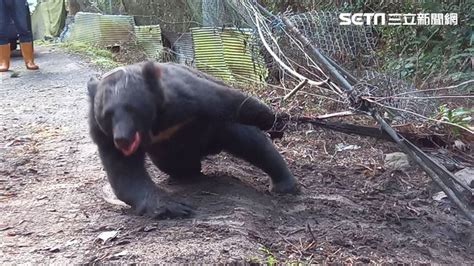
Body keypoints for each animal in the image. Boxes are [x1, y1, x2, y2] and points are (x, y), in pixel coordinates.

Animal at [87, 61, 298, 218]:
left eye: (132, 109)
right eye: (107, 115)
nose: (122, 139)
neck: (155, 125)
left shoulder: (184, 96)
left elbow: (230, 101)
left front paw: (276, 122)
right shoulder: (102, 134)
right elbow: (125, 173)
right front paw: (176, 207)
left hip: (219, 128)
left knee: (252, 143)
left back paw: (284, 185)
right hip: (169, 157)